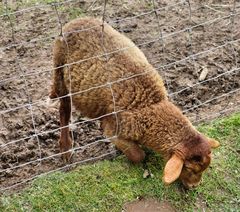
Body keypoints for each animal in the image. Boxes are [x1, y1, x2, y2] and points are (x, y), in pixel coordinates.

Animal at [49, 17, 219, 188]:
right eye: (188, 168)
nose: (194, 186)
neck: (150, 105)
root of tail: (76, 20)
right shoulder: (116, 128)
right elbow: (138, 155)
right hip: (60, 70)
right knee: (64, 108)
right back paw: (66, 148)